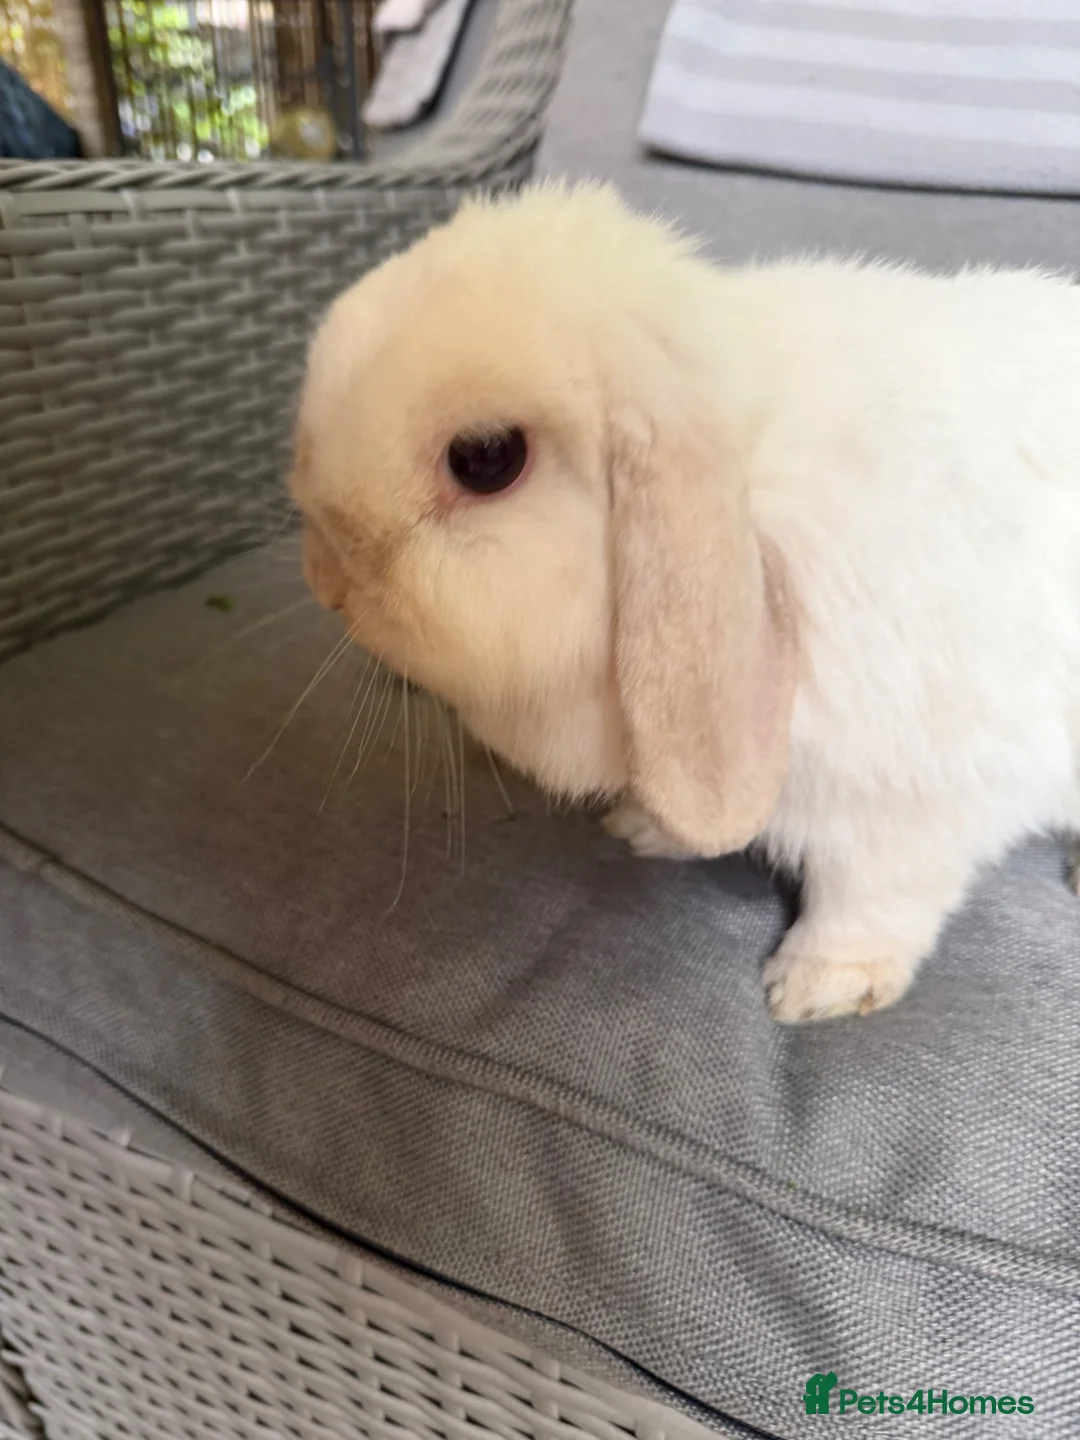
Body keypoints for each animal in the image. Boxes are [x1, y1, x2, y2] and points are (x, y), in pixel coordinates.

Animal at [290, 181, 1080, 1023]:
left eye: (485, 458)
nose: (324, 581)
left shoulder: (914, 798)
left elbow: (873, 897)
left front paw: (814, 989)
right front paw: (641, 827)